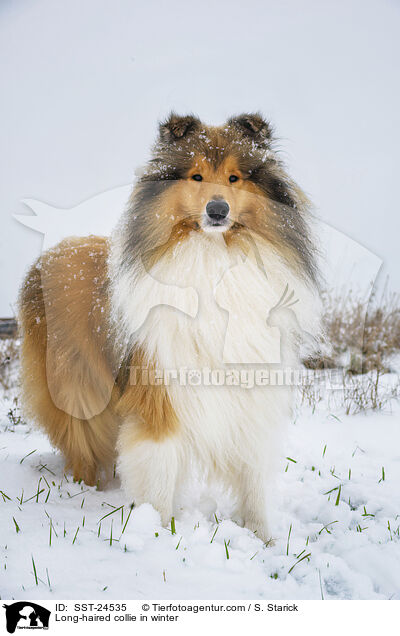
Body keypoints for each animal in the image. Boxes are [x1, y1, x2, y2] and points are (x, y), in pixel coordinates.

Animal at [18, 114, 320, 540]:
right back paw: (85, 490)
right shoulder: (160, 389)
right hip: (78, 388)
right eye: (196, 176)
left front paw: (263, 537)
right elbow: (159, 467)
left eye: (234, 177)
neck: (212, 255)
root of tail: (51, 254)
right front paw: (155, 530)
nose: (216, 210)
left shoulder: (252, 396)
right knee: (82, 443)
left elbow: (254, 477)